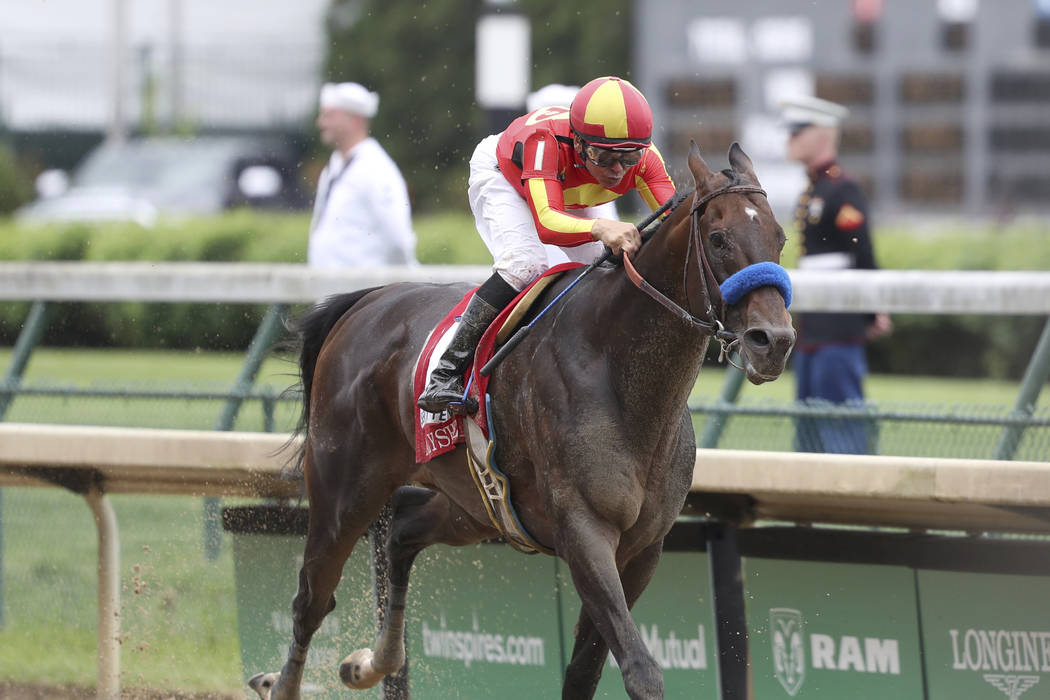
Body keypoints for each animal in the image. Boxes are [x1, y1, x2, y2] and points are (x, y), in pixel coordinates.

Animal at [249, 142, 789, 700]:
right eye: (719, 238)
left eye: (780, 237)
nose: (773, 342)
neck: (617, 368)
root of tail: (368, 300)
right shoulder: (583, 532)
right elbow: (640, 670)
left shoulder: (642, 549)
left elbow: (583, 671)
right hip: (343, 491)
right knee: (310, 599)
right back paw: (284, 682)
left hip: (474, 505)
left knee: (402, 534)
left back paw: (372, 663)